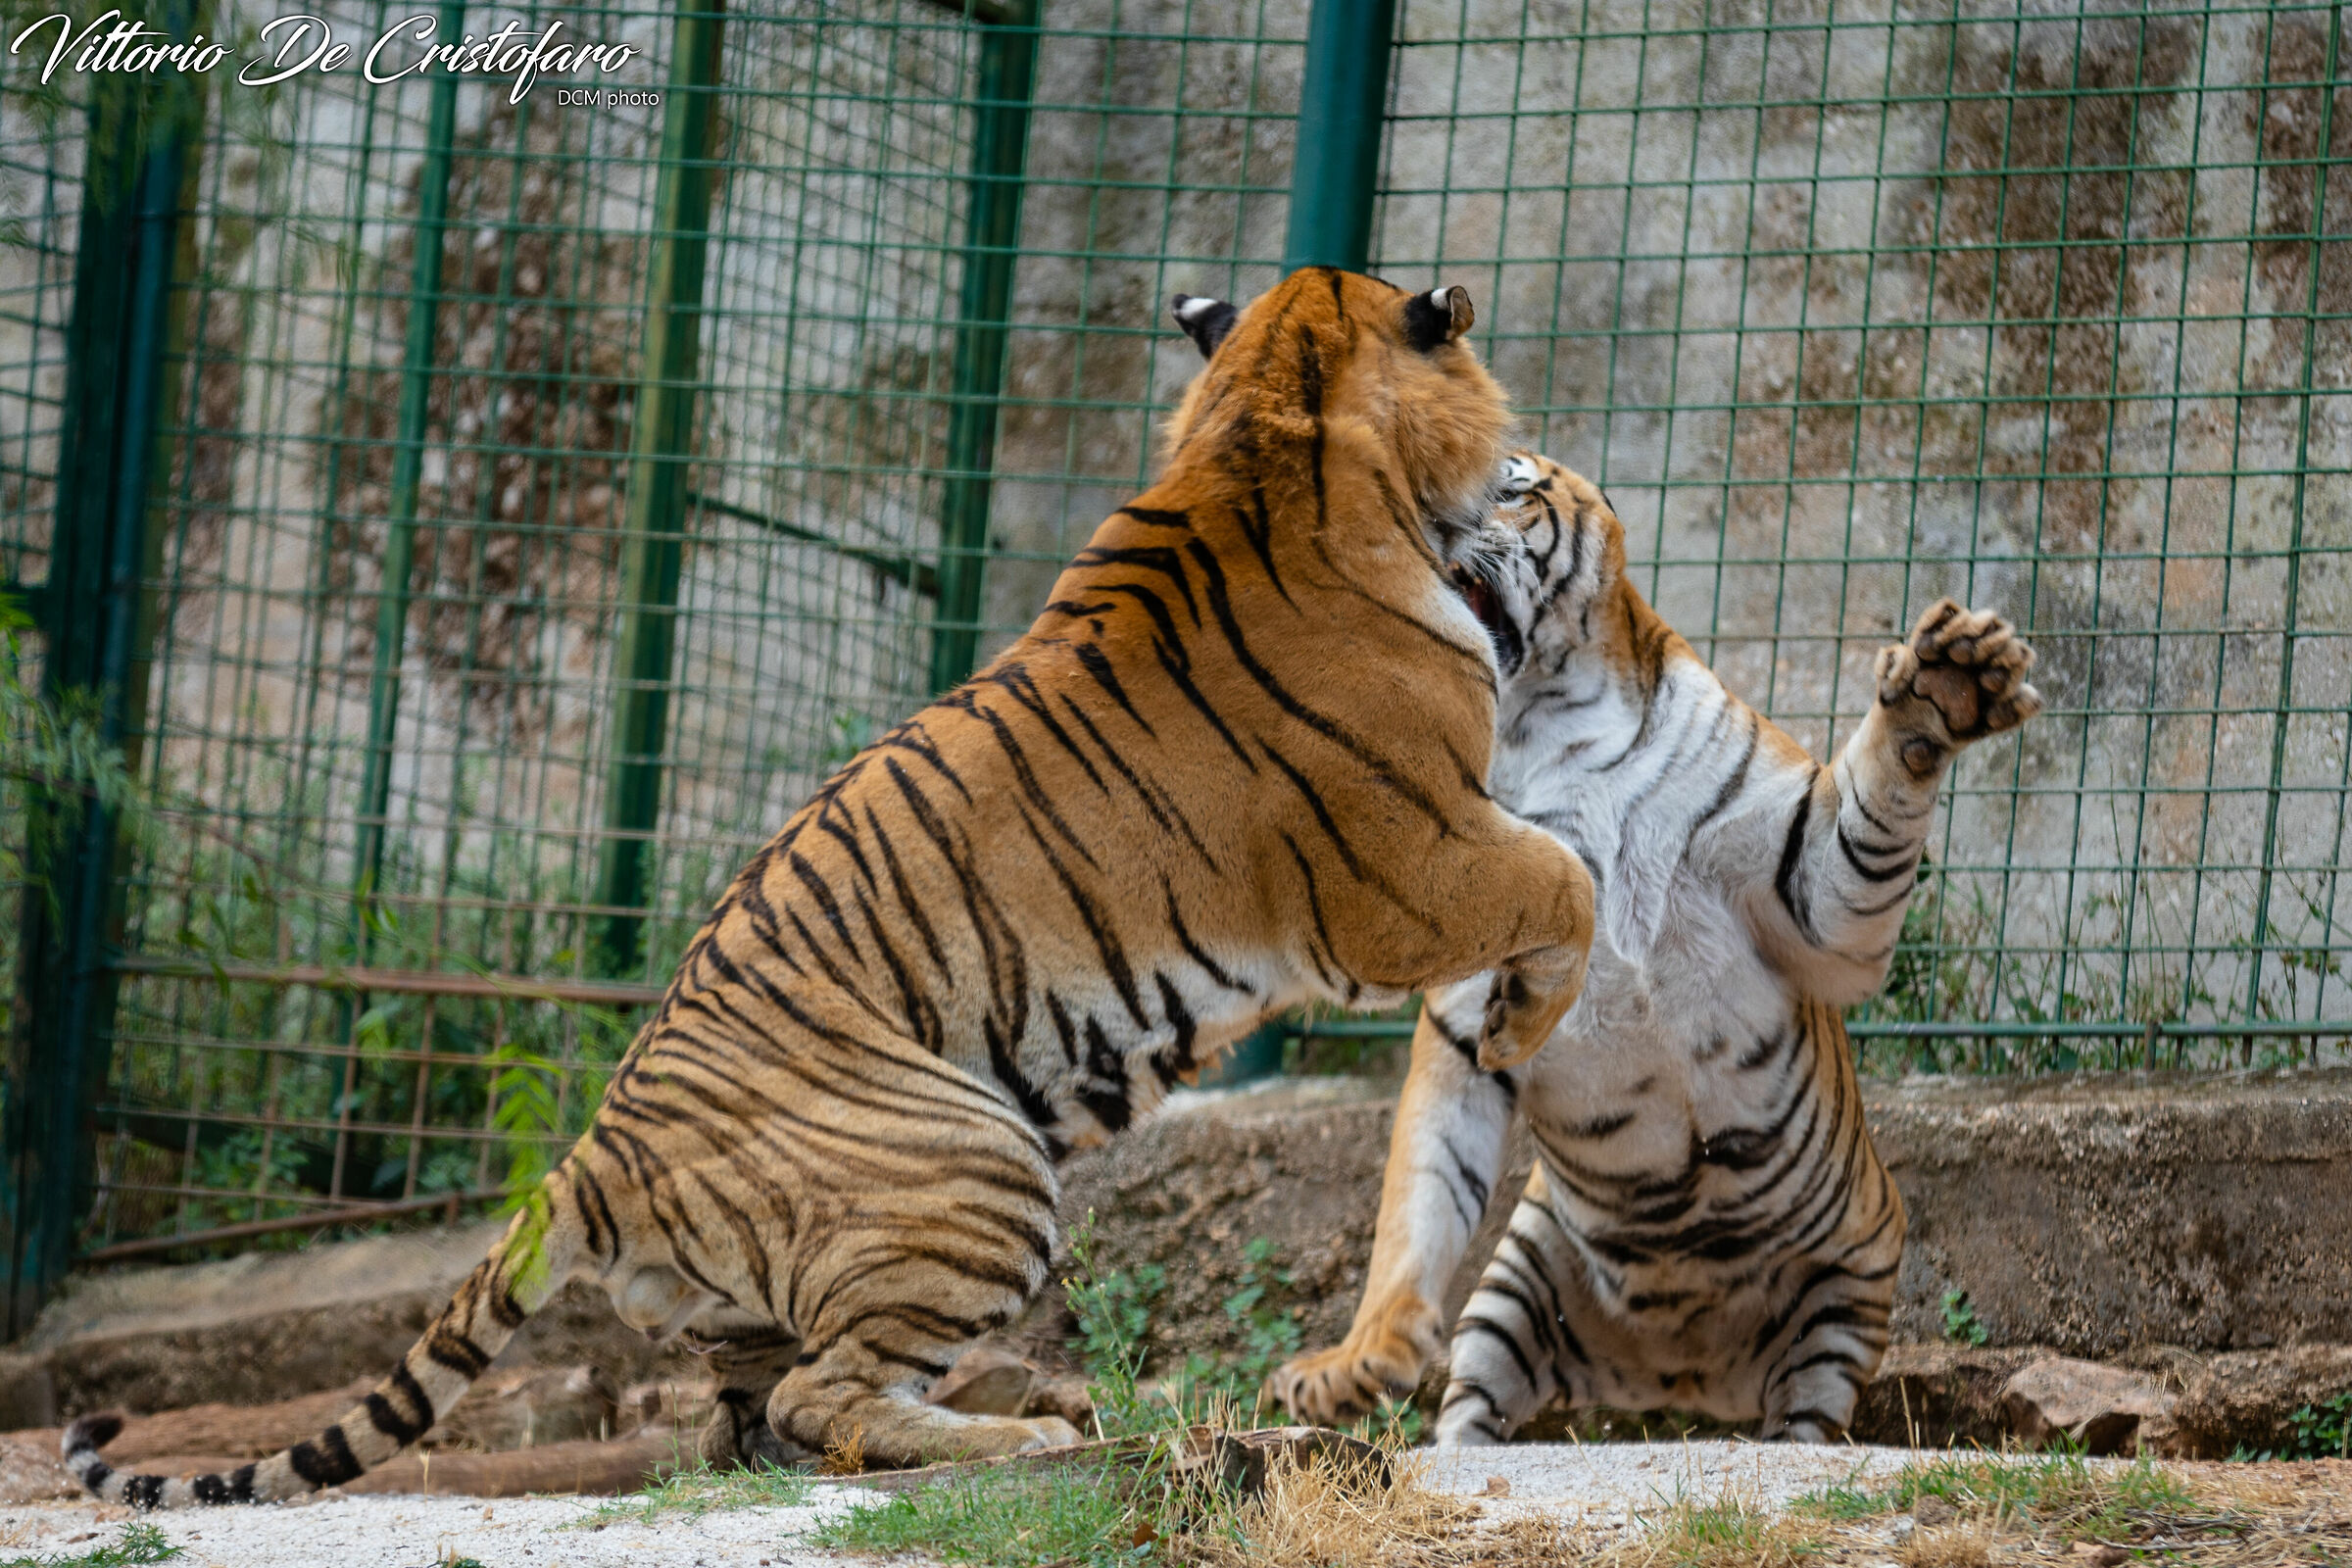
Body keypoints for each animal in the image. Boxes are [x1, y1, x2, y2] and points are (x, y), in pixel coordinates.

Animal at [64, 269, 1598, 1507]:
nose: (1533, 455)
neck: (1265, 426)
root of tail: (592, 1152)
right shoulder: (1403, 868)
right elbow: (1570, 879)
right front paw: (1521, 1019)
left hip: (801, 1271)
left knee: (756, 1416)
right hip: (981, 1164)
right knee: (822, 1402)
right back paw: (1037, 1431)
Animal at [1268, 451, 2041, 1445]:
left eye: (1508, 485)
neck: (1540, 733)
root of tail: (1683, 1374)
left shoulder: (1812, 897)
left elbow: (1871, 807)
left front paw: (1945, 684)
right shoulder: (1463, 1021)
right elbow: (1419, 1193)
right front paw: (1356, 1359)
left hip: (1843, 1301)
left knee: (1805, 1423)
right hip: (1514, 1288)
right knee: (1475, 1405)